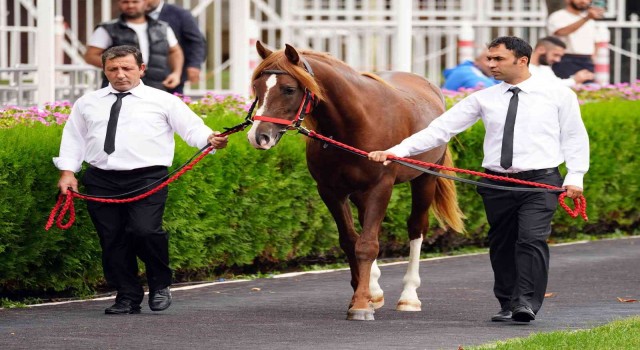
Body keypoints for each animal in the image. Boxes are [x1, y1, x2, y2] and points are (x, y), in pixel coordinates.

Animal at [248, 41, 462, 320]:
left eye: (289, 89)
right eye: (257, 87)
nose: (258, 136)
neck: (355, 123)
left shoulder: (380, 187)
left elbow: (367, 245)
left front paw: (361, 304)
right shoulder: (331, 191)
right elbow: (351, 241)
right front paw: (363, 295)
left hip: (425, 179)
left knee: (416, 227)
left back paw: (408, 296)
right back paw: (375, 289)